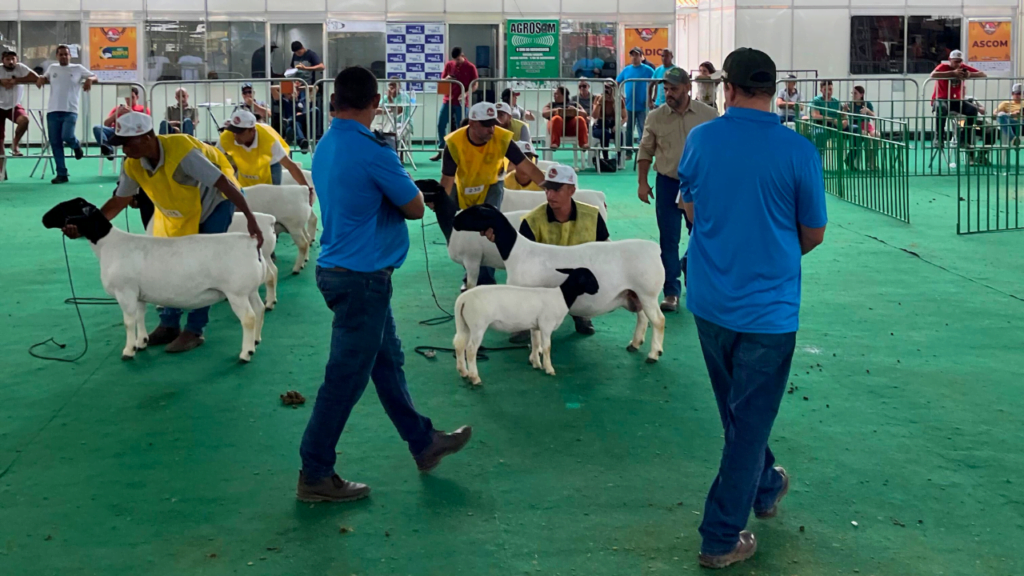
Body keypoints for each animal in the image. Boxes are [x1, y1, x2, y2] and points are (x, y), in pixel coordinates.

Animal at [454, 203, 663, 360]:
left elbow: (536, 332)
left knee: (658, 321)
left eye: (474, 212)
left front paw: (536, 352)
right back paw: (635, 344)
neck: (517, 252)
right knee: (643, 317)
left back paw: (653, 354)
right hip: (634, 293)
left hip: (648, 293)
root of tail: (654, 248)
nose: (455, 222)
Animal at [456, 266, 598, 383]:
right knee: (470, 350)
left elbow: (535, 343)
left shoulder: (536, 326)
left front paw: (536, 363)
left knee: (459, 345)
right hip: (478, 325)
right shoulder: (546, 325)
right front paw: (549, 369)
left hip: (464, 325)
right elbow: (547, 347)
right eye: (588, 277)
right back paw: (474, 378)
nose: (597, 289)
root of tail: (463, 299)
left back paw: (463, 372)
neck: (562, 296)